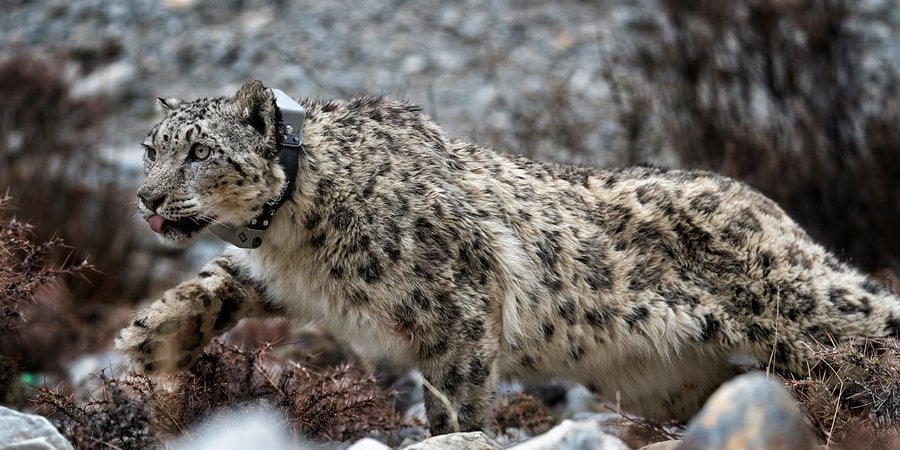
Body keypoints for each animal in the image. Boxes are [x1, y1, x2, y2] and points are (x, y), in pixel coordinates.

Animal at [117, 79, 900, 435]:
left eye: (199, 152)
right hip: (672, 383)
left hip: (810, 316)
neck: (290, 241)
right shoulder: (270, 272)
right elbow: (219, 277)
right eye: (150, 147)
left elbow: (455, 395)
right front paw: (152, 337)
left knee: (872, 332)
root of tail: (770, 209)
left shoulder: (454, 306)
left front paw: (453, 436)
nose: (147, 197)